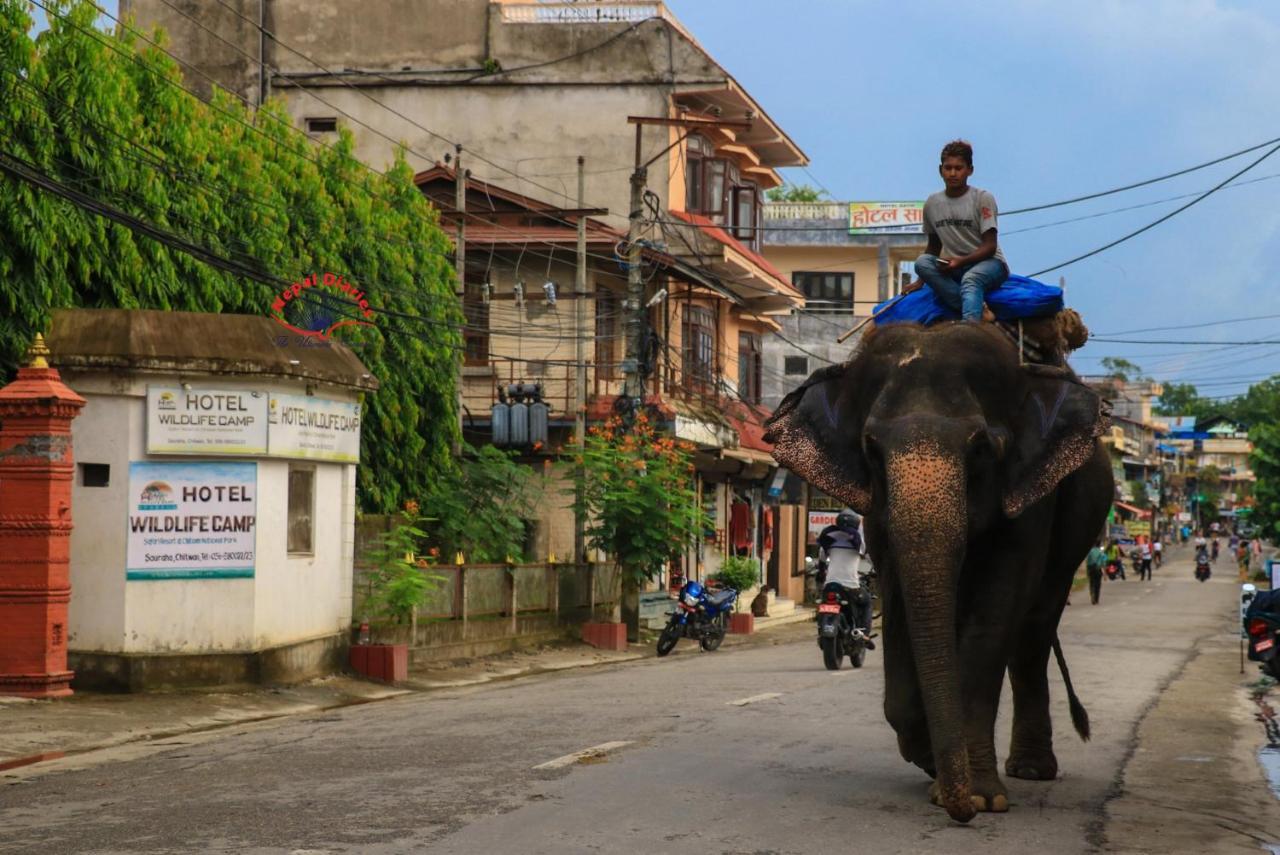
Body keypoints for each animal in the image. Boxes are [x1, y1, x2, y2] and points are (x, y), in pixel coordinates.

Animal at [762, 319, 1116, 819]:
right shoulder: (877, 512)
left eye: (982, 447)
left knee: (1033, 629)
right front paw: (937, 766)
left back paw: (1029, 770)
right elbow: (898, 600)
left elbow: (995, 609)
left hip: (1079, 528)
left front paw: (981, 796)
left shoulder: (1028, 495)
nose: (960, 812)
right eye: (871, 448)